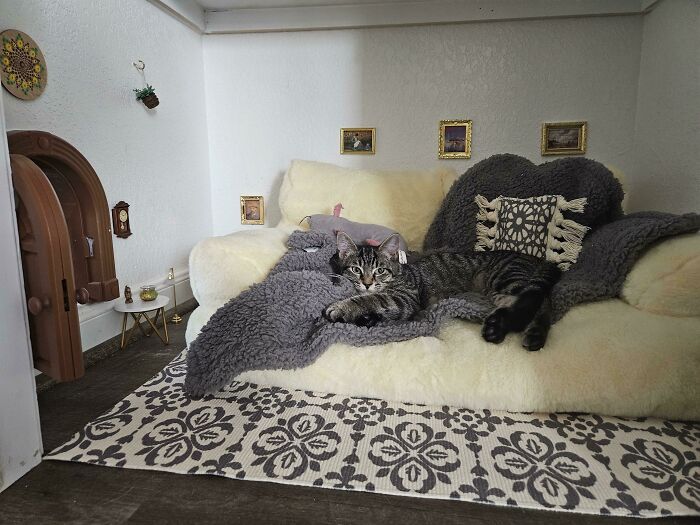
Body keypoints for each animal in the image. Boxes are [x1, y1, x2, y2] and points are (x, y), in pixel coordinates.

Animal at [324, 231, 564, 350]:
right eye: (356, 269)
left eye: (380, 270)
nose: (366, 282)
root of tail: (536, 258)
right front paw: (364, 316)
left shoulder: (404, 299)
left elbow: (372, 299)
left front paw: (341, 308)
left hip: (506, 279)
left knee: (541, 301)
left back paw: (530, 333)